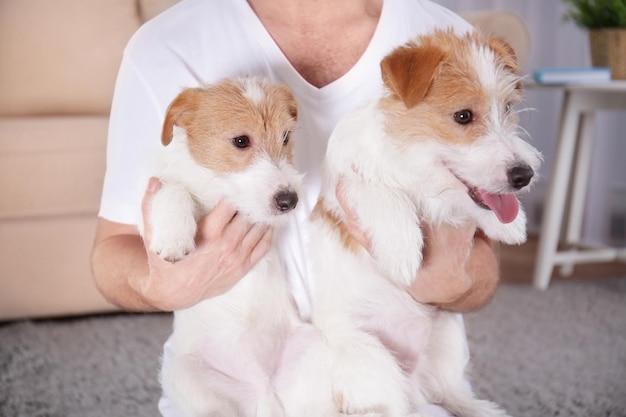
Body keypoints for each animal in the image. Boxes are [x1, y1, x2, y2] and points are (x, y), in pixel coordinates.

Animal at [142, 77, 326, 416]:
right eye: (241, 141)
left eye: (285, 136)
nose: (289, 201)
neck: (220, 188)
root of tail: (262, 388)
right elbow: (173, 189)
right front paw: (174, 235)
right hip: (187, 380)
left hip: (313, 353)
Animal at [304, 30, 540, 416]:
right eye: (463, 115)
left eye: (507, 108)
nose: (524, 176)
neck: (415, 167)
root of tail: (413, 380)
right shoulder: (339, 188)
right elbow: (376, 191)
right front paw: (403, 252)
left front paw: (511, 223)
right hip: (373, 360)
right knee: (395, 406)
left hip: (448, 336)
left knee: (449, 392)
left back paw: (483, 409)